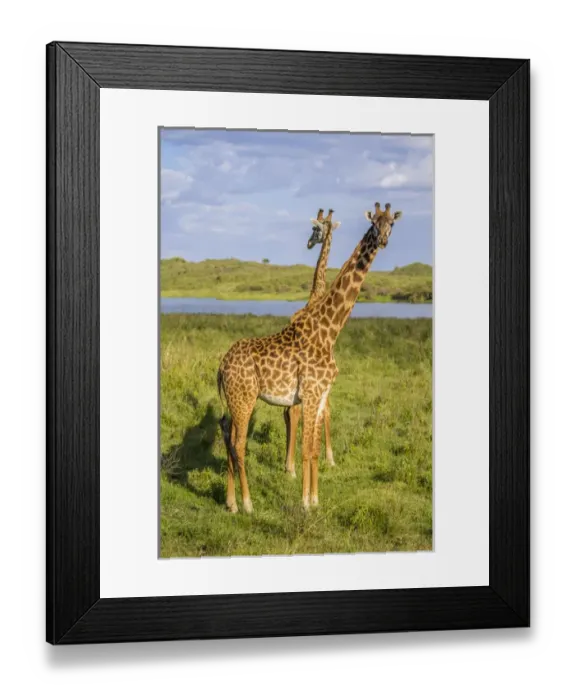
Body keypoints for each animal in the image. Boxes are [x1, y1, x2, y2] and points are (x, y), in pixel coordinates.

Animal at [217, 203, 402, 513]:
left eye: (392, 224)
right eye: (374, 223)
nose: (383, 240)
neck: (329, 330)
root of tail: (220, 366)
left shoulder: (320, 394)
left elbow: (313, 449)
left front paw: (315, 499)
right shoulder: (312, 393)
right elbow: (305, 449)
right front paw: (304, 503)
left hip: (236, 400)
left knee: (229, 438)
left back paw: (230, 503)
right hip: (244, 399)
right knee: (239, 444)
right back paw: (247, 503)